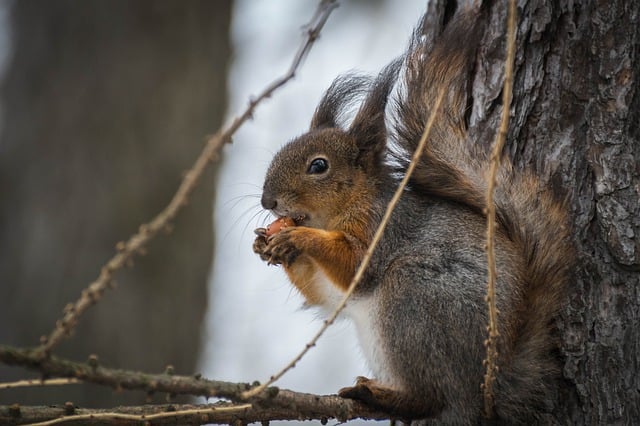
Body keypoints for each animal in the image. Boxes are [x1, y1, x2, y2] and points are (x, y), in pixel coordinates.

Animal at [251, 4, 576, 426]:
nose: (267, 201)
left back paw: (381, 395)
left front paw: (297, 239)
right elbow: (325, 292)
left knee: (431, 397)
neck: (344, 207)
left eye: (318, 166)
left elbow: (355, 267)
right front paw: (268, 245)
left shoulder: (383, 225)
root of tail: (489, 389)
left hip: (415, 300)